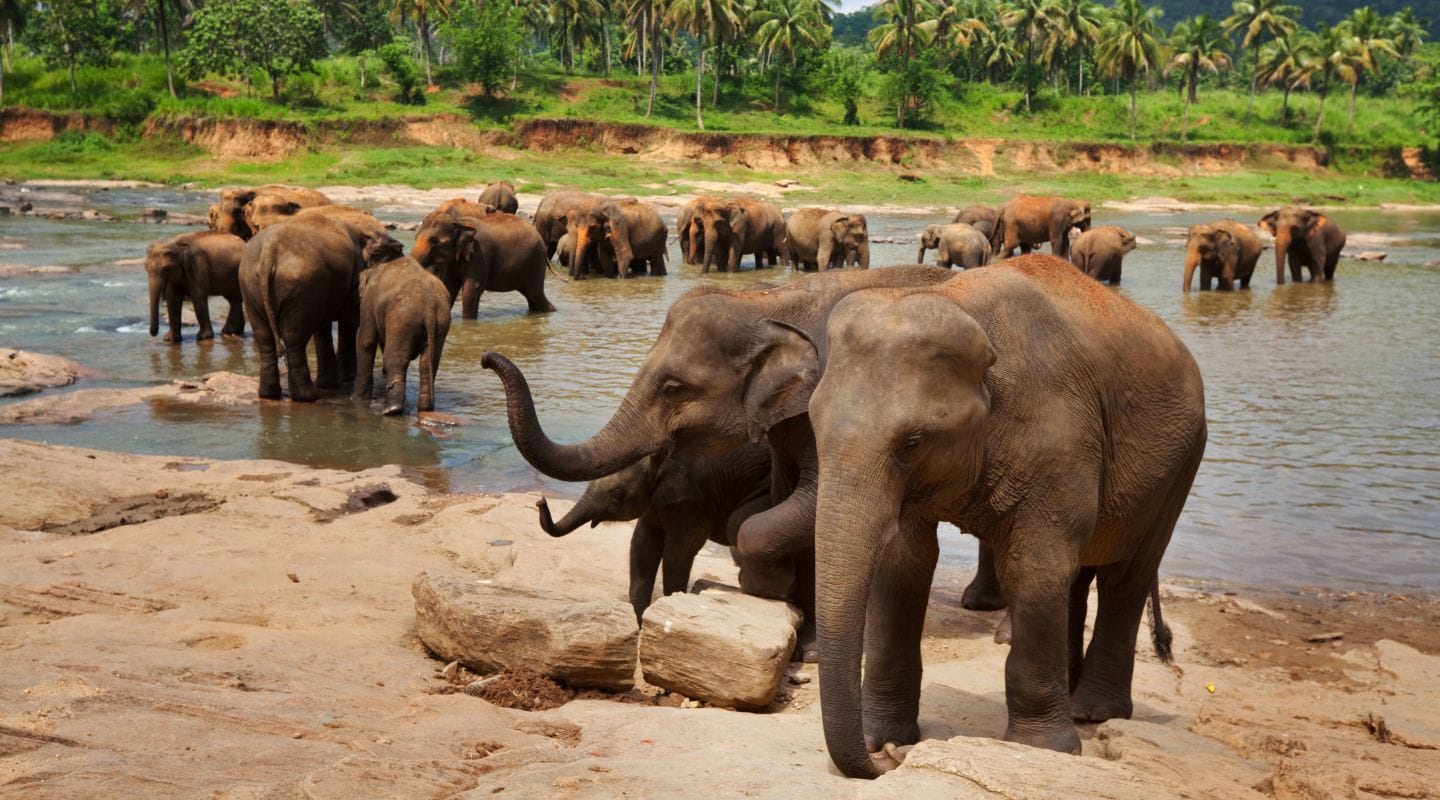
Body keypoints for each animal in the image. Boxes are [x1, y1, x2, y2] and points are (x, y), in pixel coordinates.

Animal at [240, 214, 391, 401]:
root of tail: (269, 252)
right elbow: (348, 318)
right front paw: (344, 380)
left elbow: (325, 325)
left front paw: (333, 383)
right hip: (300, 284)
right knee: (294, 338)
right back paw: (308, 396)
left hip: (251, 285)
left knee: (264, 336)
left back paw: (270, 394)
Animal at [353, 235, 451, 416]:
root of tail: (428, 304)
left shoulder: (369, 298)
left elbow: (366, 340)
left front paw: (356, 401)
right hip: (441, 321)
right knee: (428, 364)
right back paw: (425, 408)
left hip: (402, 319)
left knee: (394, 361)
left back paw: (391, 410)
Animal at [412, 210, 555, 317]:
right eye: (415, 236)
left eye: (436, 242)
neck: (459, 222)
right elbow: (449, 287)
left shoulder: (479, 254)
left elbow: (471, 290)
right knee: (532, 297)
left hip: (535, 262)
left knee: (534, 294)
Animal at [535, 444, 773, 623]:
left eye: (617, 495)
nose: (540, 501)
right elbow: (642, 545)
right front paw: (638, 625)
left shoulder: (694, 503)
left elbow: (677, 554)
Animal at [777, 254, 1206, 778]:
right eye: (815, 425)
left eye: (912, 444)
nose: (884, 760)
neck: (962, 303)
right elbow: (903, 563)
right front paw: (886, 736)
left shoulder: (1059, 437)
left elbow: (1032, 565)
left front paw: (1044, 750)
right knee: (1079, 572)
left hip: (1180, 462)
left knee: (1126, 575)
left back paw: (1093, 711)